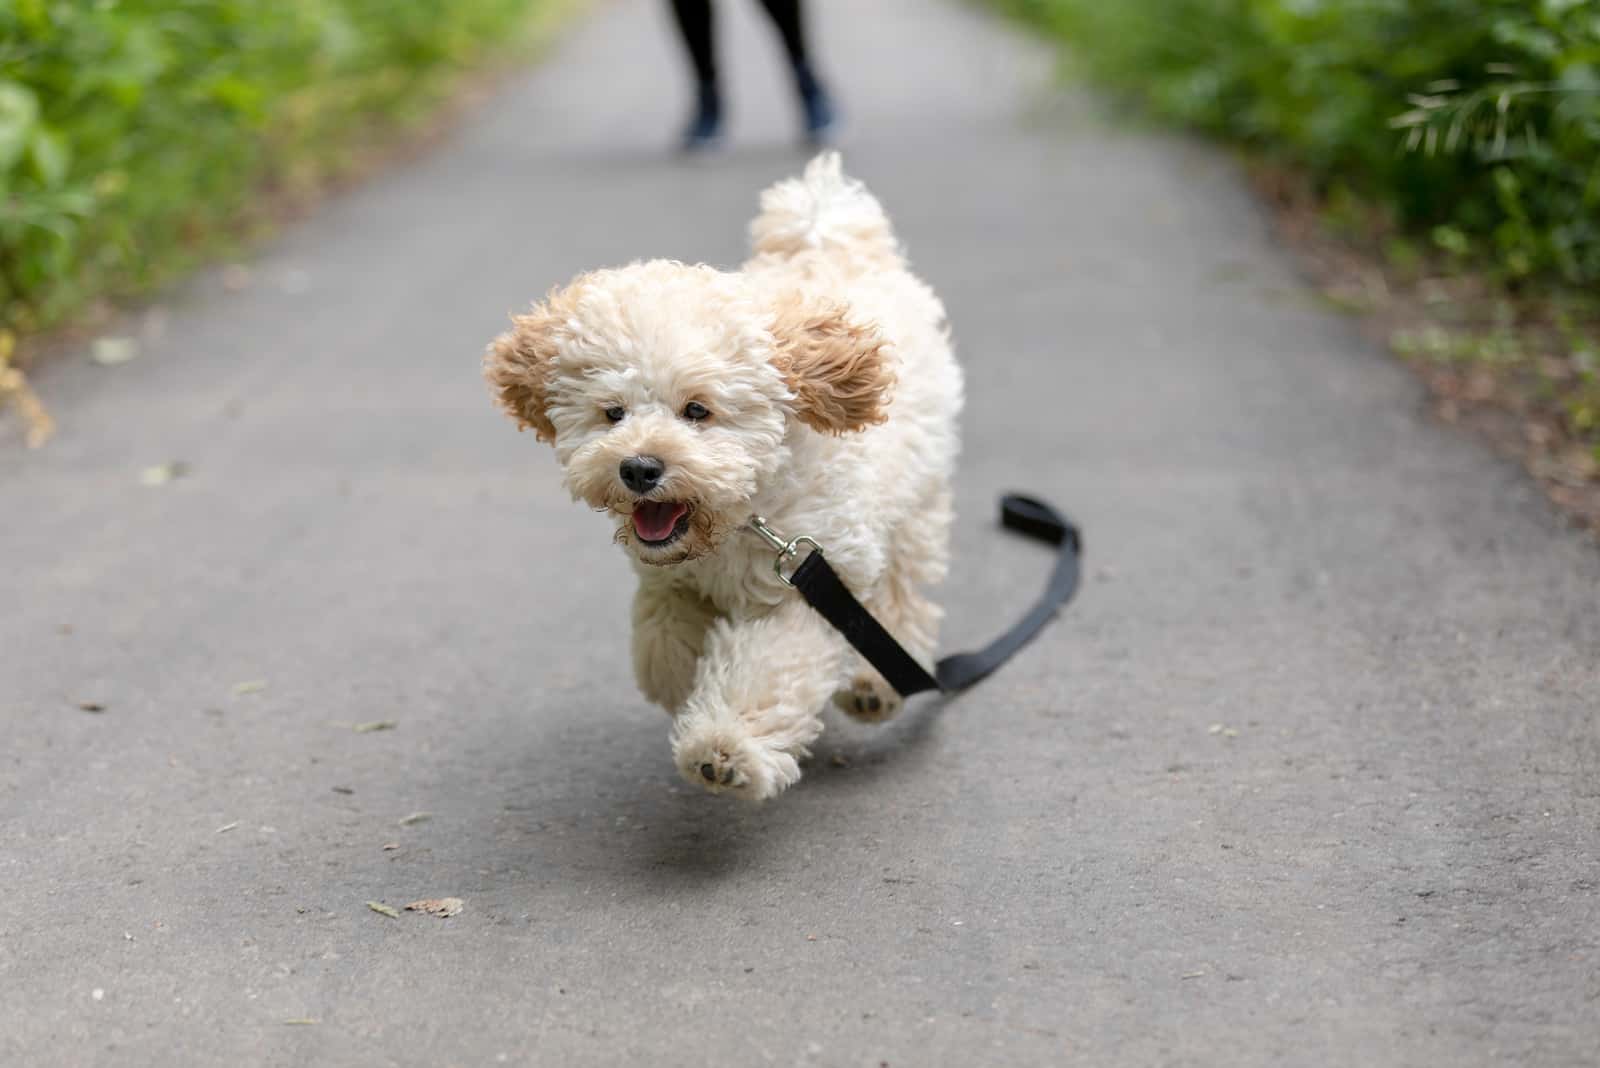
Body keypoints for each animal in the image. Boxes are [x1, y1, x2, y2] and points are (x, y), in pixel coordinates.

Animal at [483, 151, 960, 799]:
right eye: (612, 413)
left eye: (697, 410)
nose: (639, 467)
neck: (742, 517)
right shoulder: (671, 580)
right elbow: (662, 639)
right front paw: (684, 683)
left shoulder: (809, 582)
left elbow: (765, 670)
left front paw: (723, 747)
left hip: (914, 502)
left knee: (901, 594)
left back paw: (874, 684)